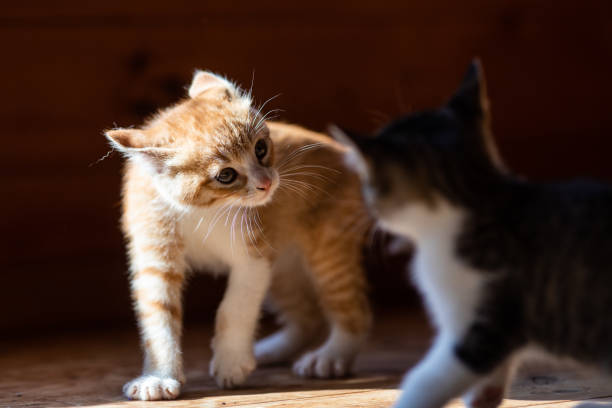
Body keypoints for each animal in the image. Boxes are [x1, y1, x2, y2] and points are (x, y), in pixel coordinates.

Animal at [106, 71, 372, 400]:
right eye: (226, 175)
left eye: (261, 148)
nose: (267, 183)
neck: (199, 210)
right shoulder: (154, 250)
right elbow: (157, 315)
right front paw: (157, 377)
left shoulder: (253, 257)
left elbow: (233, 308)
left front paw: (231, 362)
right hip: (284, 269)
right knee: (307, 316)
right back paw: (273, 350)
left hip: (328, 247)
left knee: (353, 308)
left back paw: (331, 356)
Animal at [338, 61, 612, 408]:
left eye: (368, 183)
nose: (368, 208)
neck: (476, 200)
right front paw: (484, 396)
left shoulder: (483, 326)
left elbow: (425, 380)